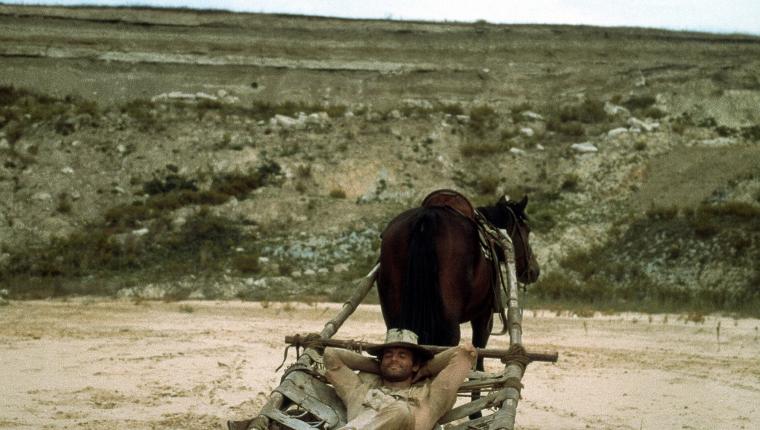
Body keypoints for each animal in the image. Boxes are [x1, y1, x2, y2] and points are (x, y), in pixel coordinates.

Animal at [378, 189, 536, 362]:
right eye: (527, 230)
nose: (534, 271)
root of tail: (427, 217)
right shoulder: (484, 315)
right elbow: (479, 353)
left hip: (393, 314)